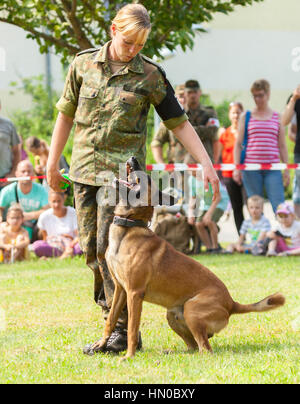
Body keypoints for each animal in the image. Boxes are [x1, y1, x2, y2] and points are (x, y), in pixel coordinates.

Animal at [92, 156, 284, 358]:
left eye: (147, 178)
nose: (133, 158)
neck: (129, 226)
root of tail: (232, 303)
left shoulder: (134, 293)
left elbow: (132, 329)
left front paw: (129, 356)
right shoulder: (120, 289)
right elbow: (110, 320)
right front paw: (101, 344)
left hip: (192, 310)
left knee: (205, 349)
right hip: (173, 314)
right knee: (193, 346)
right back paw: (171, 353)